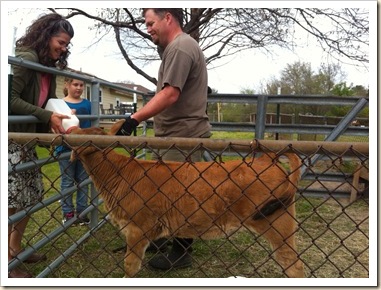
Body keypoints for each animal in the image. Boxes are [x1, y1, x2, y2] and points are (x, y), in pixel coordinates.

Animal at [70, 120, 304, 278]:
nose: (69, 130)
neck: (120, 173)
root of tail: (267, 160)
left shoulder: (137, 228)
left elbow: (130, 266)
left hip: (279, 226)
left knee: (294, 265)